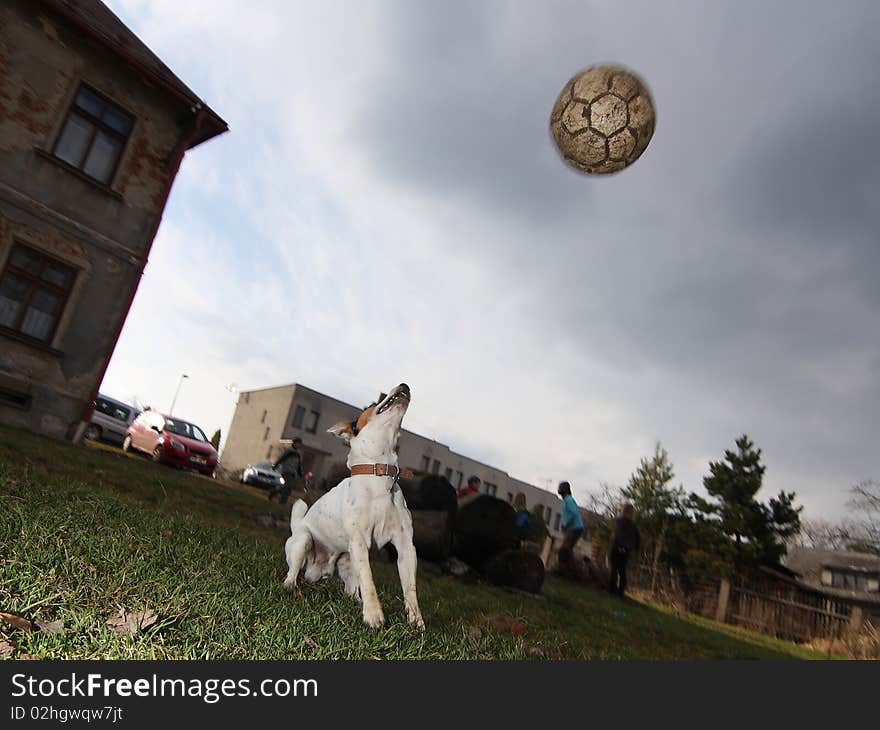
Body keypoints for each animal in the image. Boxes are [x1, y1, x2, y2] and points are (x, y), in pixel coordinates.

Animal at [280, 384, 422, 628]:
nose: (405, 385)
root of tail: (318, 571)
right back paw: (290, 585)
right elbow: (369, 580)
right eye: (372, 404)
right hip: (304, 541)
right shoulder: (359, 540)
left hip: (347, 561)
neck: (379, 473)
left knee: (351, 588)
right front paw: (374, 616)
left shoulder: (405, 546)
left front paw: (416, 621)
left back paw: (355, 600)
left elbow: (409, 588)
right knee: (294, 570)